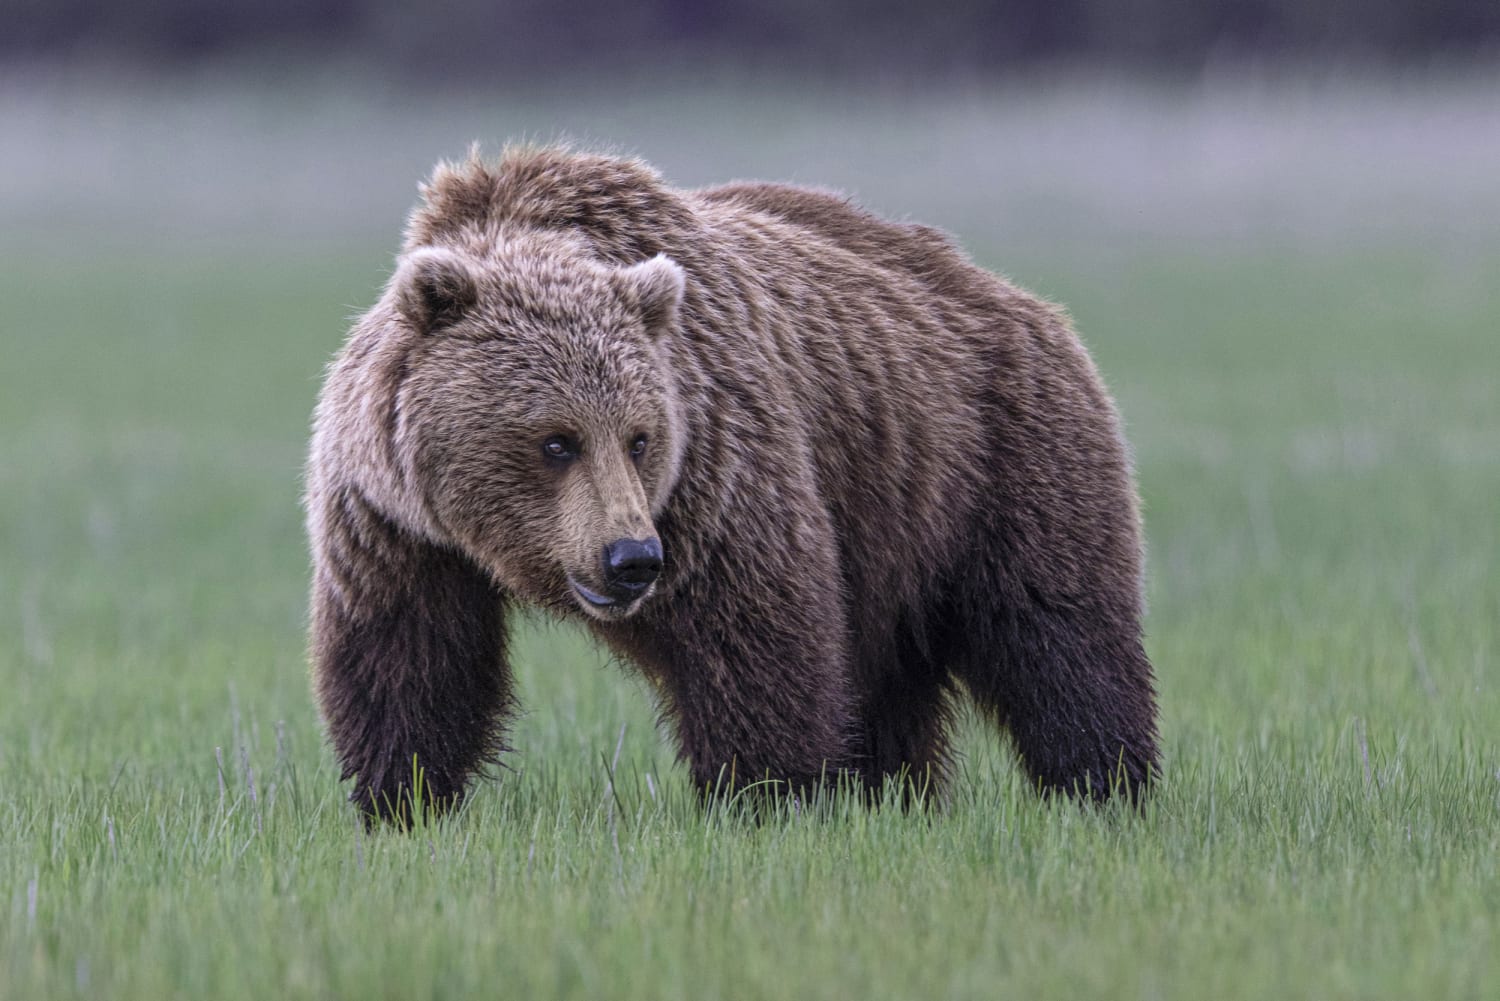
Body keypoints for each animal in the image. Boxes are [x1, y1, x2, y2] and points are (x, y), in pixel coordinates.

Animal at [305, 146, 1159, 823]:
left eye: (640, 437)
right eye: (555, 440)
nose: (631, 558)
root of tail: (1021, 299)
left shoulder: (715, 468)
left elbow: (755, 631)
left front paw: (766, 794)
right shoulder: (394, 523)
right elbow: (410, 658)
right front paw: (400, 799)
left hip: (996, 458)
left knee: (1057, 632)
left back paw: (1105, 783)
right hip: (891, 526)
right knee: (890, 676)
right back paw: (893, 790)